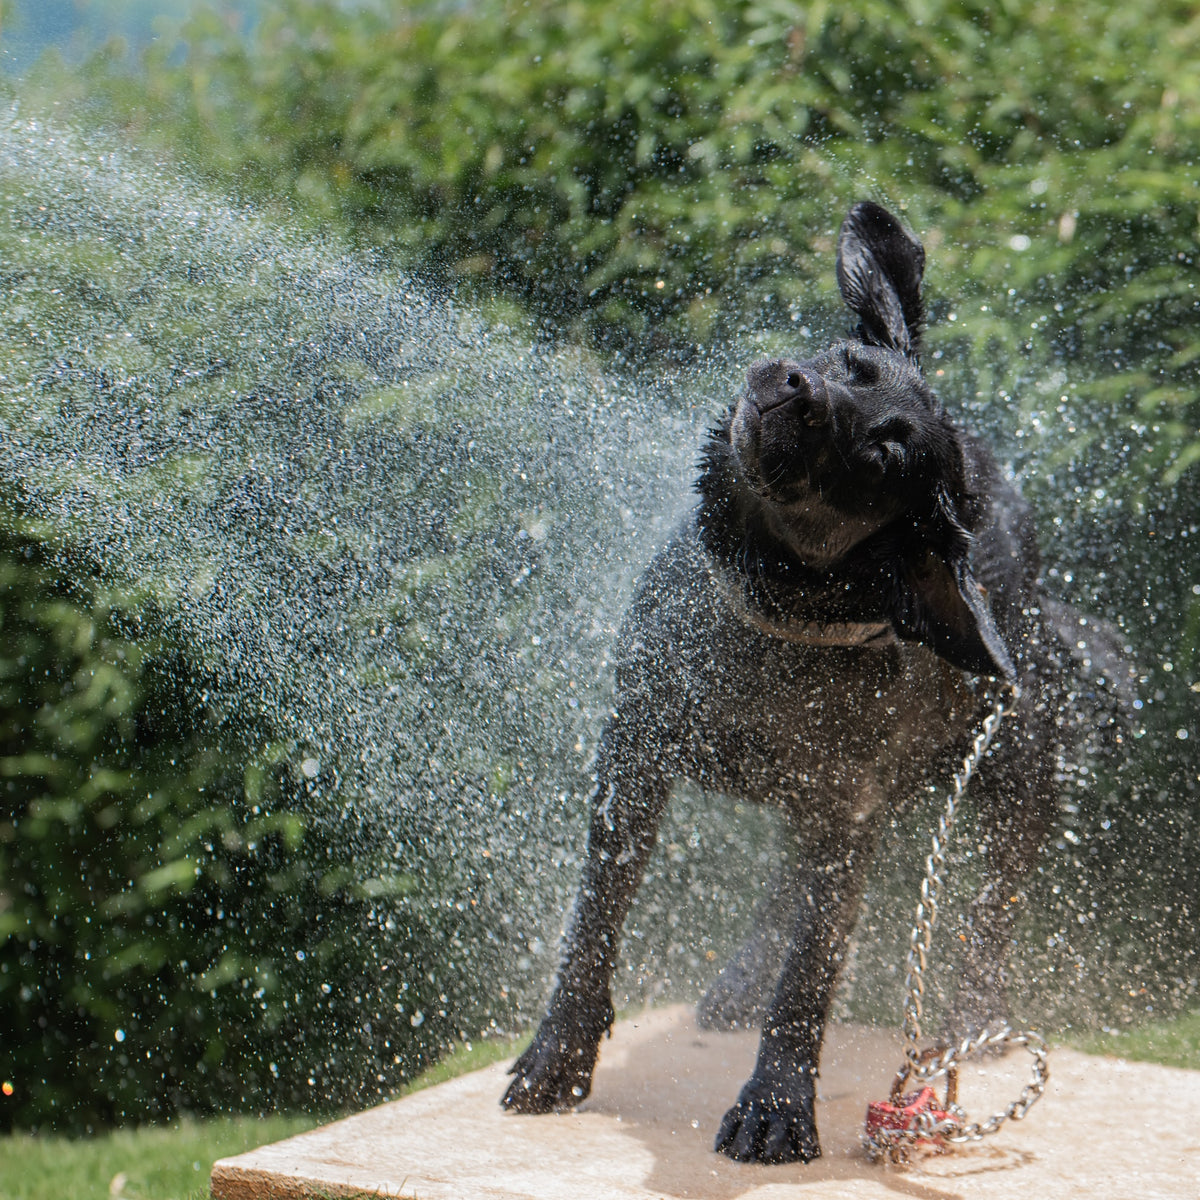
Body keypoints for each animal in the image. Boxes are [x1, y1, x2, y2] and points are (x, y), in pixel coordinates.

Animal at [501, 204, 1075, 1161]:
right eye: (851, 365)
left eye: (884, 454)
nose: (797, 389)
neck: (771, 630)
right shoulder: (634, 756)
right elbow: (593, 927)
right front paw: (557, 1057)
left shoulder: (846, 820)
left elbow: (810, 977)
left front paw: (775, 1106)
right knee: (777, 892)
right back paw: (737, 980)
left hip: (1014, 771)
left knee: (991, 911)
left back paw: (973, 1019)